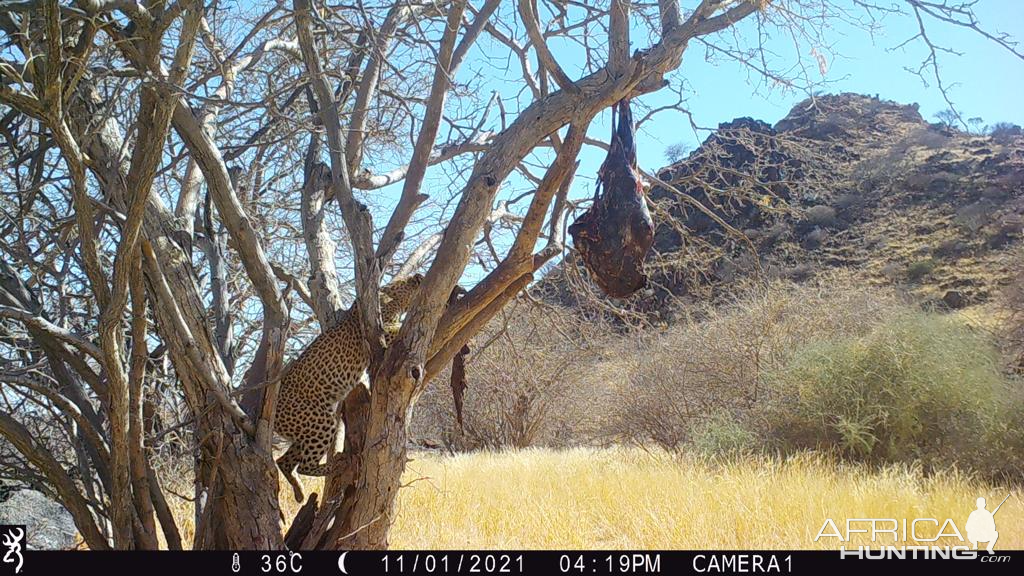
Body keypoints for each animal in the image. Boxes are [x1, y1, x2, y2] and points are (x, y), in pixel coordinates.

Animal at [272, 270, 423, 500]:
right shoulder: (381, 329)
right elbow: (397, 328)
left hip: (304, 431)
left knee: (284, 461)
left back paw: (299, 492)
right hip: (320, 421)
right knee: (304, 465)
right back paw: (338, 464)